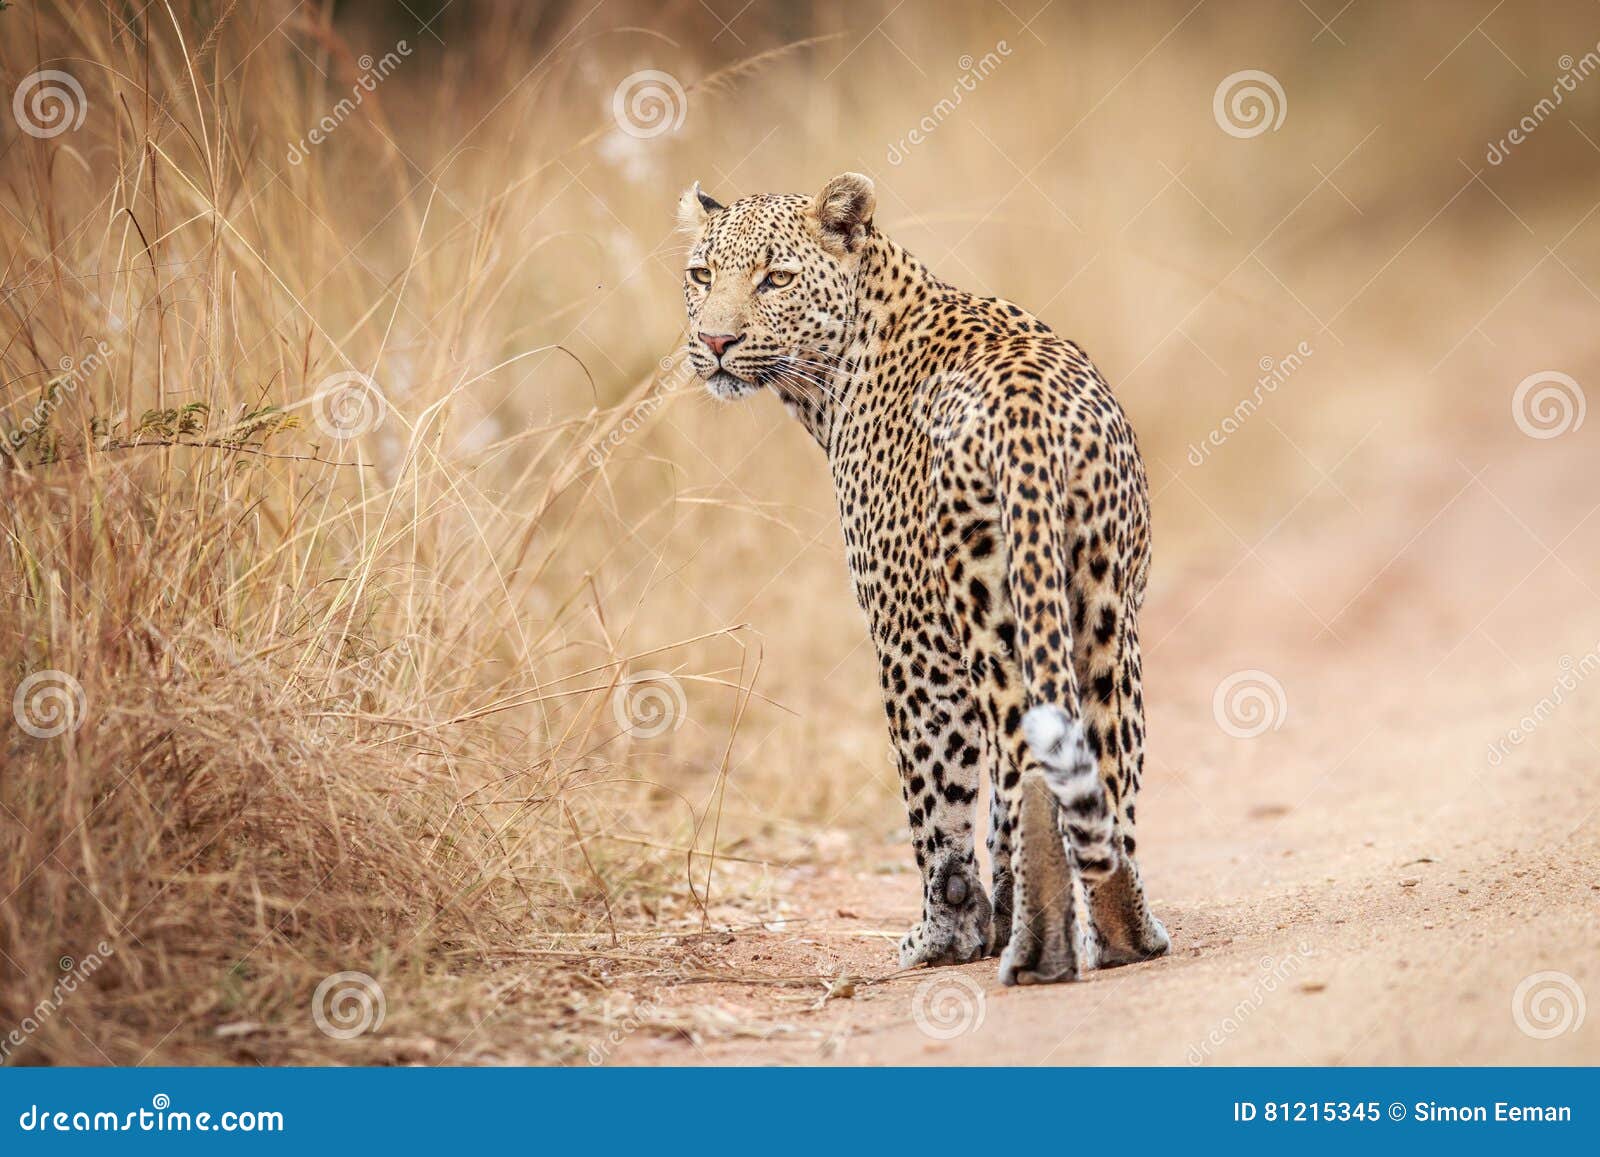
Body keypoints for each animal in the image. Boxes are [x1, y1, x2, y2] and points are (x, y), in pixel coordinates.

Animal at [676, 172, 1170, 984]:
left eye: (776, 278)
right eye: (700, 275)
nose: (715, 343)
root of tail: (1030, 424)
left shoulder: (909, 635)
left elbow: (936, 804)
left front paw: (946, 933)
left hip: (984, 615)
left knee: (1018, 764)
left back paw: (1033, 943)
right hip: (1103, 609)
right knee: (1103, 760)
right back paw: (1124, 928)